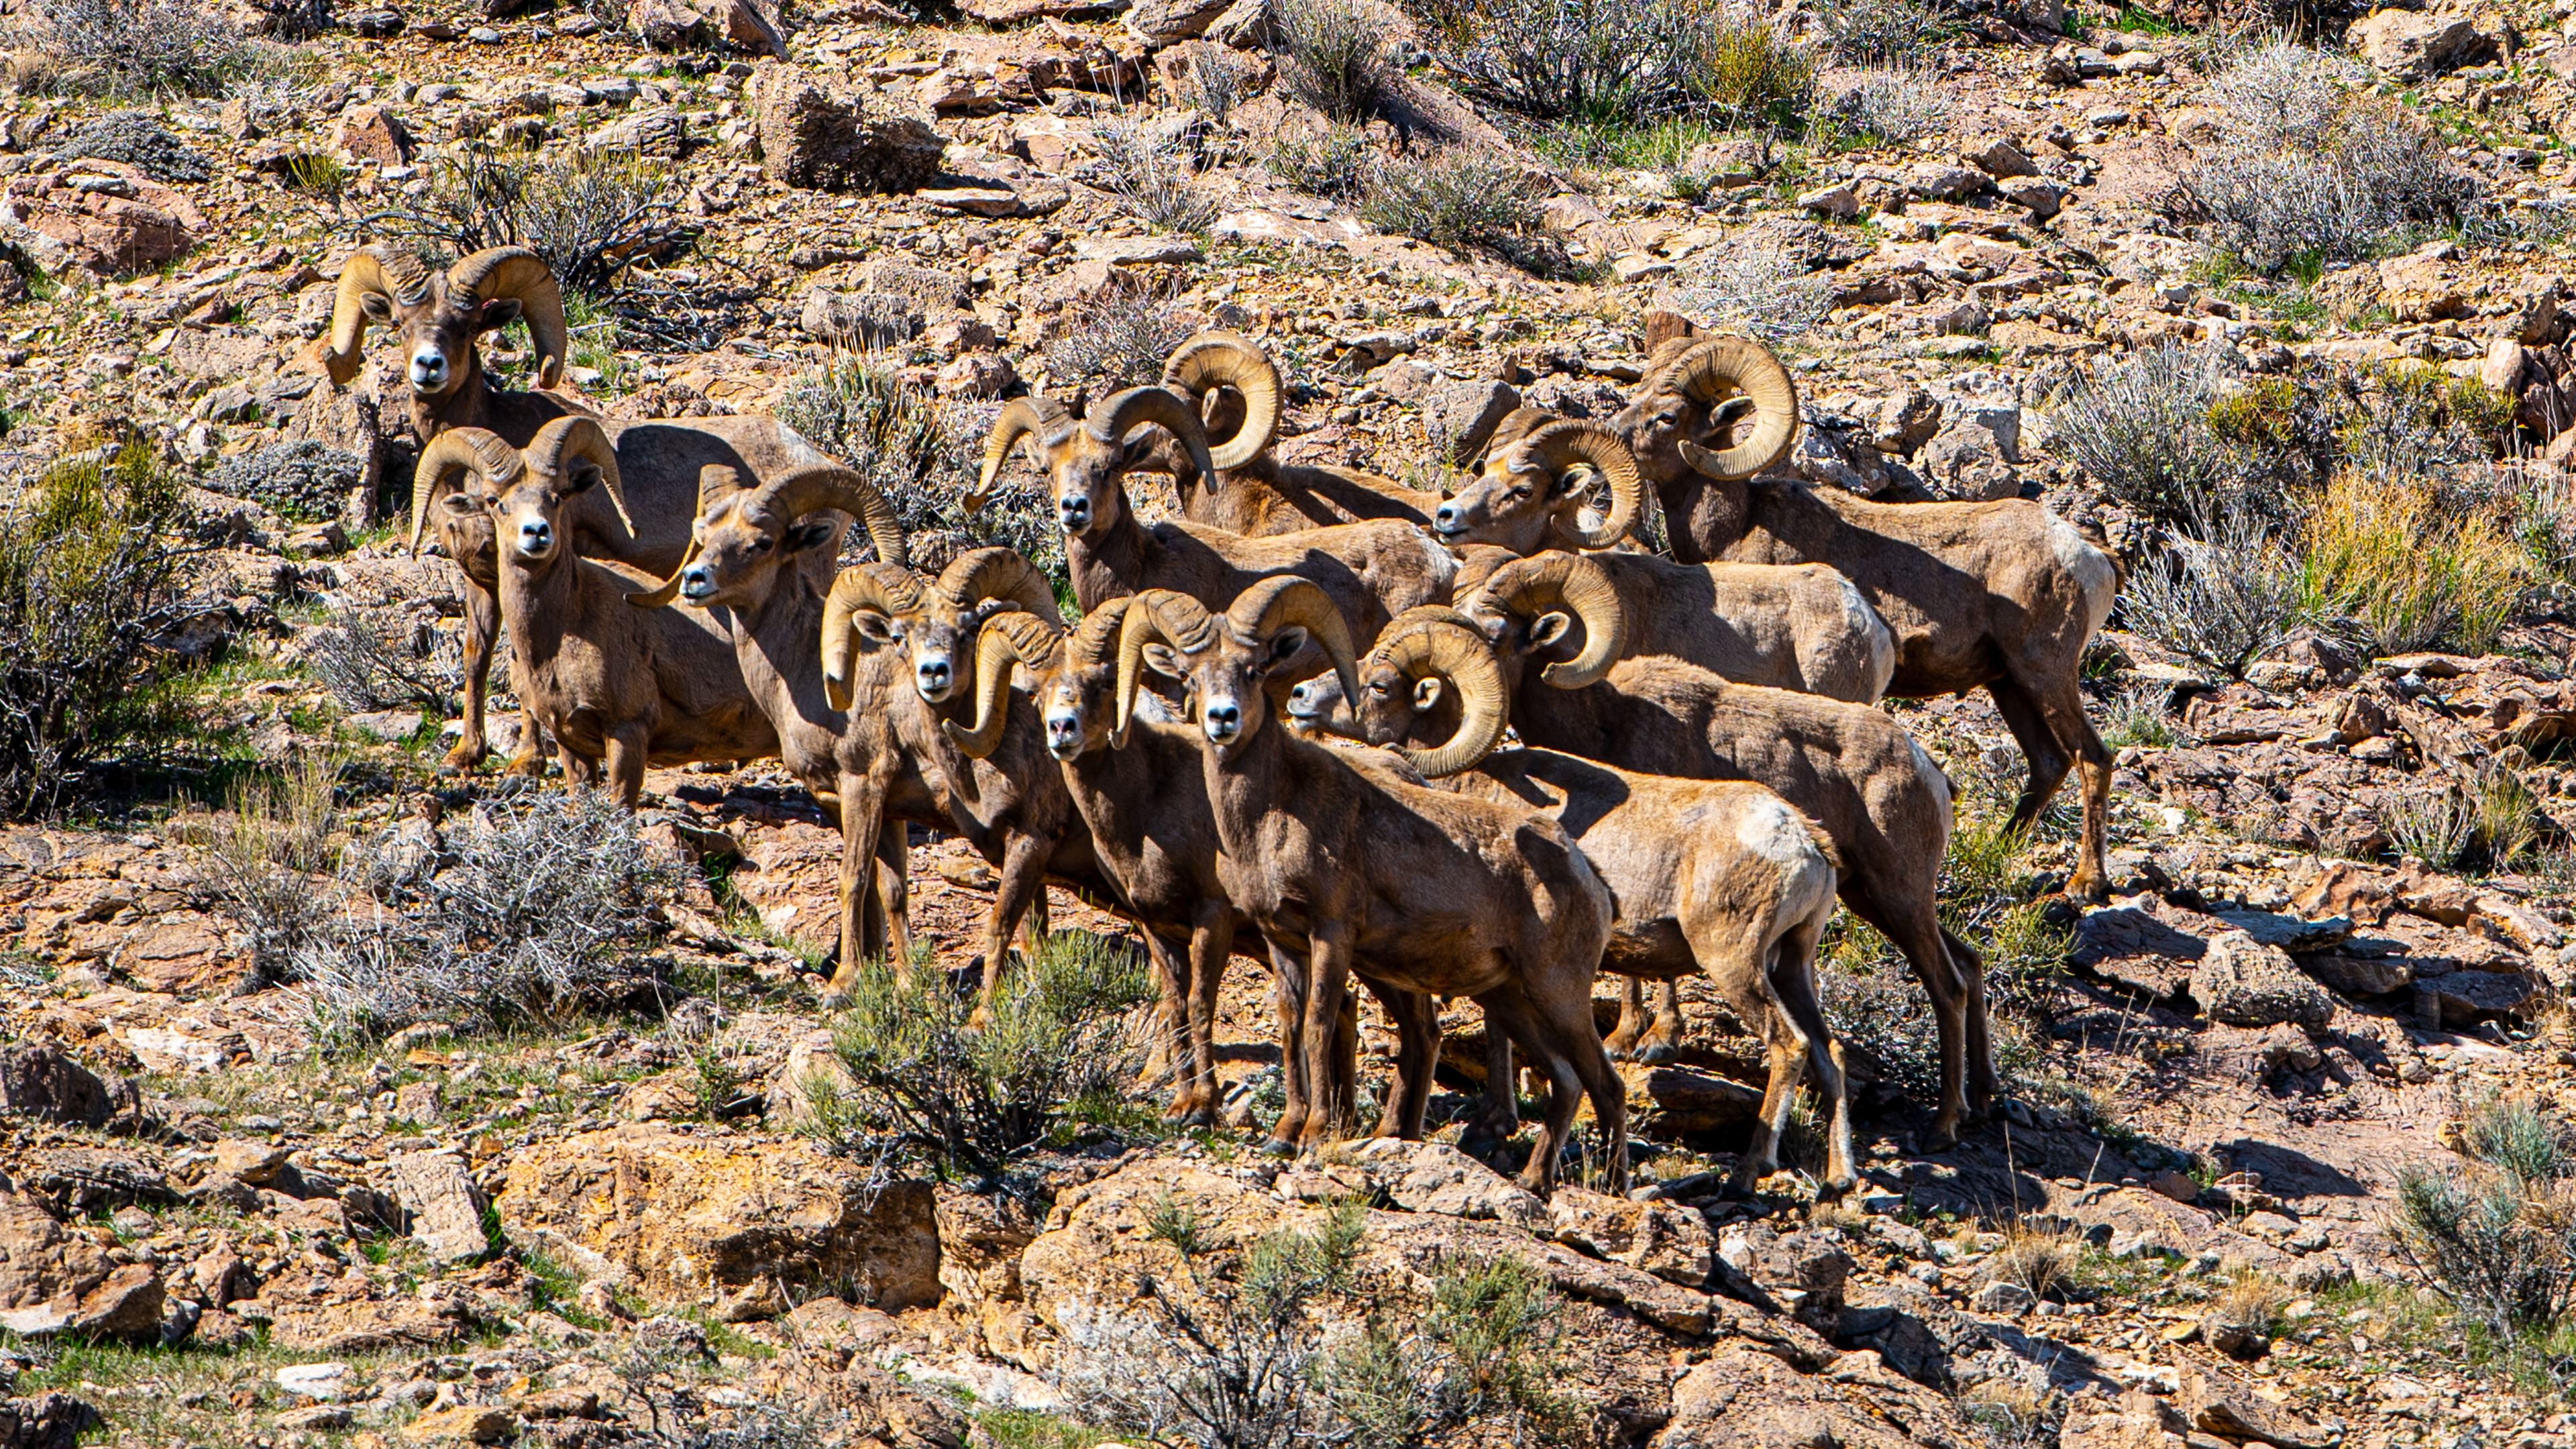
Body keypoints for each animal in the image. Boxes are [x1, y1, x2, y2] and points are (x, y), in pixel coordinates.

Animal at [411, 421, 839, 807]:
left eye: (558, 496)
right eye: (495, 502)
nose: (536, 533)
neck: (562, 633)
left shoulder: (627, 732)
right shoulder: (572, 743)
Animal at [943, 600, 1442, 1139]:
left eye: (1104, 683)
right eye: (1036, 692)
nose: (1062, 729)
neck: (1147, 807)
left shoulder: (1212, 916)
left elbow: (1202, 1003)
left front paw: (1205, 1107)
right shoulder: (1158, 927)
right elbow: (1176, 1006)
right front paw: (1180, 1106)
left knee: (1416, 1028)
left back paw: (1385, 1133)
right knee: (1358, 1013)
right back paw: (1351, 1125)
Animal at [1113, 576, 1624, 1193]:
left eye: (1254, 670)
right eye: (1191, 676)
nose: (1222, 719)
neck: (1272, 814)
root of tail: (1589, 879)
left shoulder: (1332, 933)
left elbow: (1319, 1023)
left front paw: (1314, 1135)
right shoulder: (1283, 943)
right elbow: (1291, 1028)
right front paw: (1284, 1133)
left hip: (1559, 994)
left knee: (1606, 1084)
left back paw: (1612, 1186)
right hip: (1509, 997)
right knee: (1568, 1080)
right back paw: (1532, 1182)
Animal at [1291, 566, 1990, 1150]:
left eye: (1381, 685)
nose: (1299, 698)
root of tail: (1929, 770)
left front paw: (1643, 1044)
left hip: (1893, 897)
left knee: (1946, 986)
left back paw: (1944, 1126)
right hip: (1875, 900)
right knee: (1965, 966)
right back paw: (1976, 1105)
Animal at [1532, 330, 2122, 903]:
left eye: (1668, 417)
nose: (1597, 450)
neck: (1738, 524)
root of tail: (2088, 557)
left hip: (2043, 671)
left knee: (2091, 757)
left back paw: (2086, 884)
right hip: (2008, 683)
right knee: (2048, 763)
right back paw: (2000, 852)